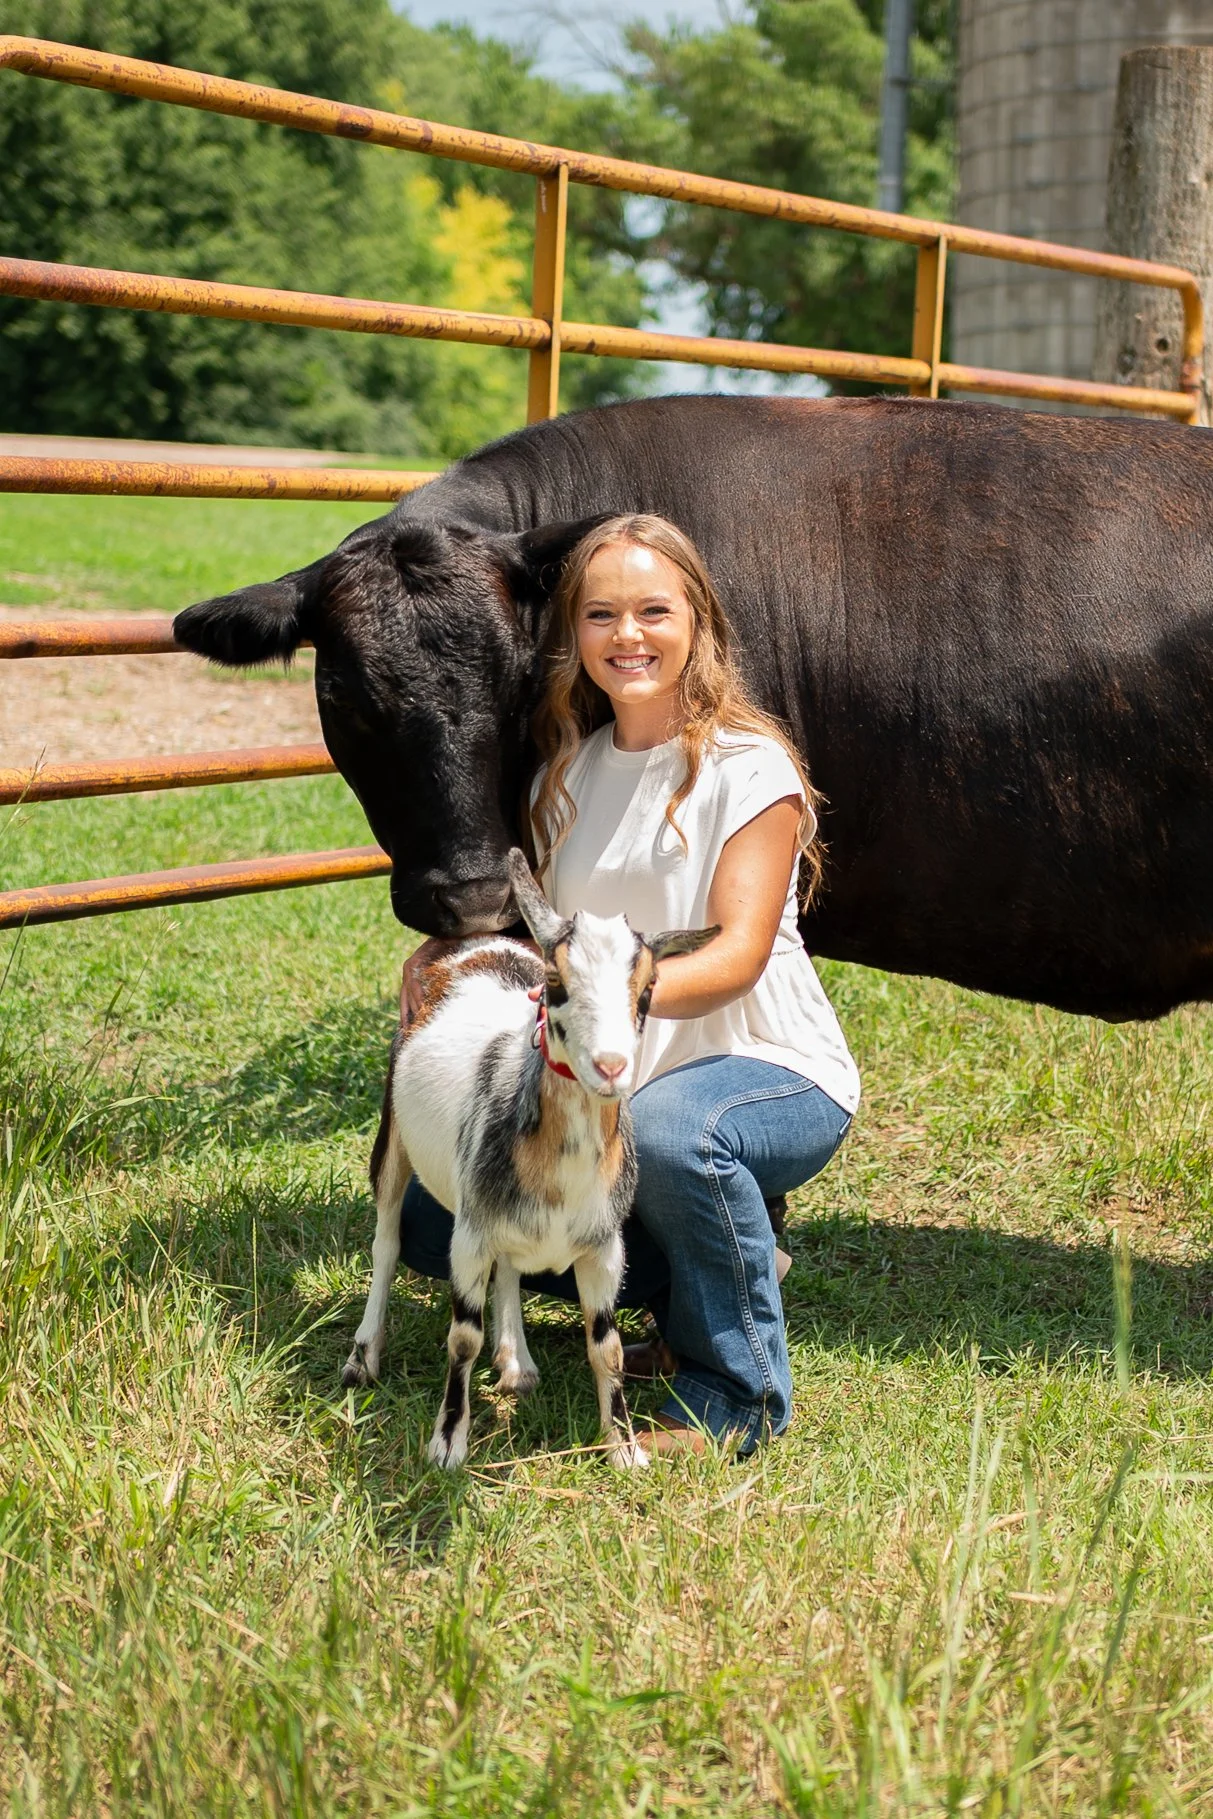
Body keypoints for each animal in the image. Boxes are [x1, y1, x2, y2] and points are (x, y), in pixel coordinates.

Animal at [342, 848, 717, 1470]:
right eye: (556, 981)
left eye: (649, 986)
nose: (611, 1066)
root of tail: (478, 943)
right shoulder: (469, 1234)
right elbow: (462, 1338)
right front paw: (448, 1443)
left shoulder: (603, 1246)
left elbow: (608, 1347)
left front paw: (623, 1448)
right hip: (394, 1133)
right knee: (387, 1240)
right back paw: (363, 1357)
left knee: (510, 1266)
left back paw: (516, 1360)